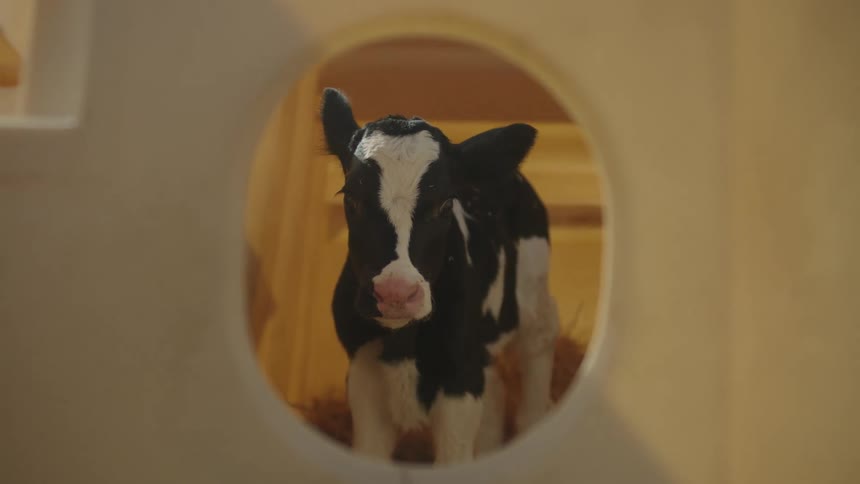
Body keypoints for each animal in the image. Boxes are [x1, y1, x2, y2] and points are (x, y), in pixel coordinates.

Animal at [320, 88, 560, 465]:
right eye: (351, 198)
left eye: (444, 204)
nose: (396, 292)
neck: (403, 343)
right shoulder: (363, 367)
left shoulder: (458, 381)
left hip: (533, 290)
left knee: (540, 342)